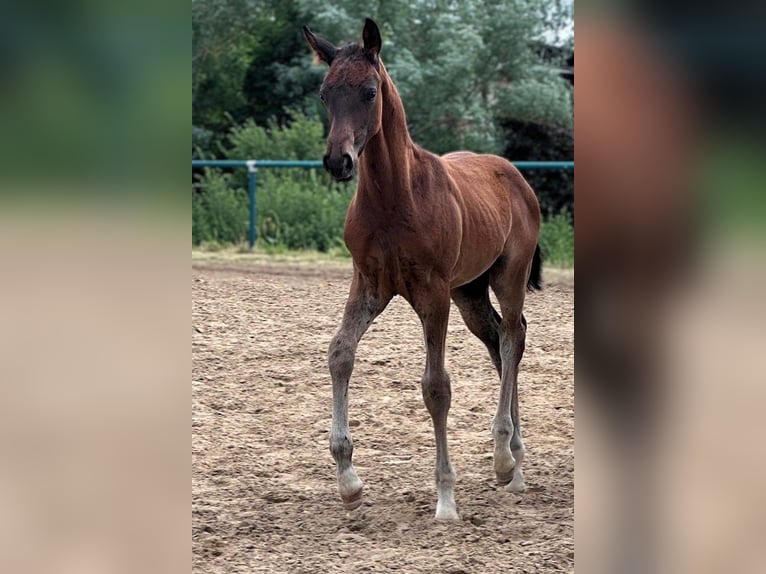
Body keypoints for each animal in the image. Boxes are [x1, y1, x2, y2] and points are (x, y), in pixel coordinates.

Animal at [303, 18, 542, 521]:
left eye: (370, 91)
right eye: (325, 93)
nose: (337, 160)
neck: (396, 197)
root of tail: (513, 174)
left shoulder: (432, 294)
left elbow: (436, 387)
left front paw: (446, 499)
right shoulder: (368, 284)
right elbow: (339, 354)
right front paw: (348, 482)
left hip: (507, 277)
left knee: (513, 337)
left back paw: (505, 457)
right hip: (469, 291)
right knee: (499, 342)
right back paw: (514, 462)